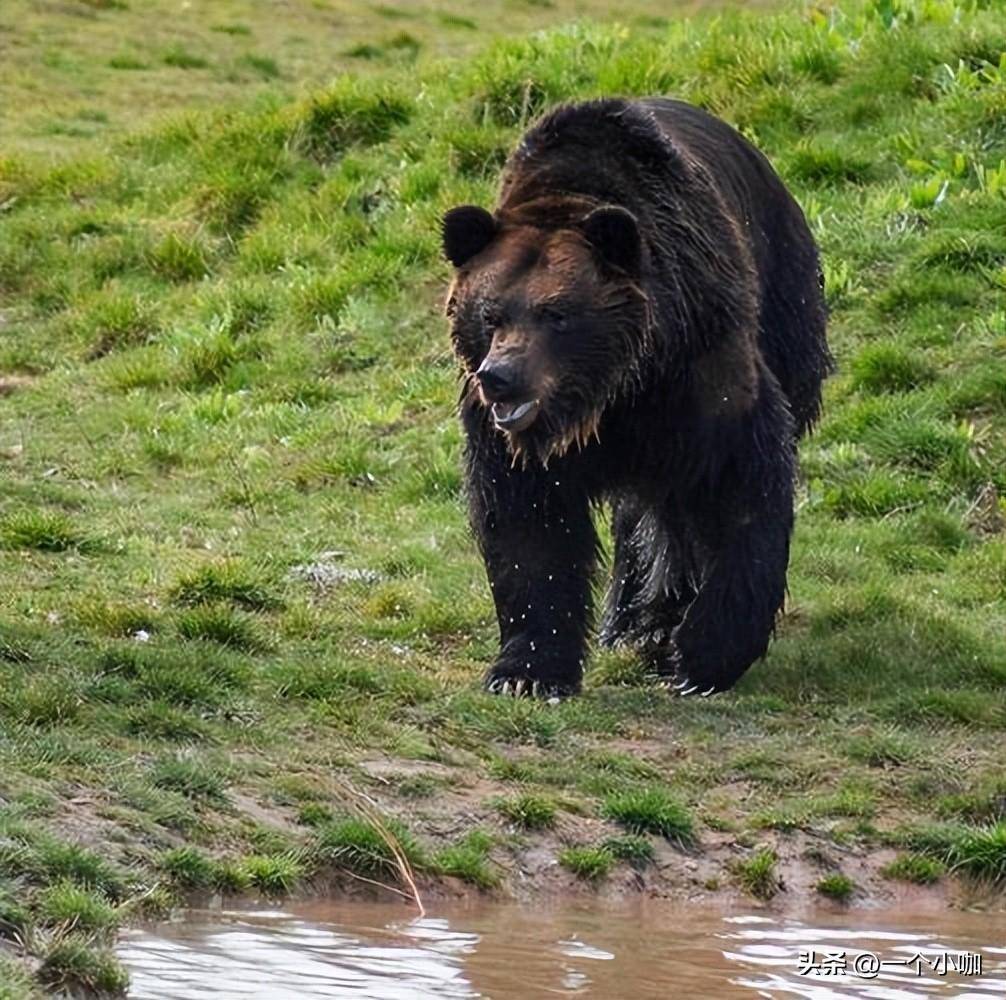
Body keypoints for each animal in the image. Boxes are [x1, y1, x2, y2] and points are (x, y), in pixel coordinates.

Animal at [444, 97, 828, 696]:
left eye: (556, 314)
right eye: (490, 314)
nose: (500, 376)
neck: (612, 394)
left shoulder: (698, 372)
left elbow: (740, 490)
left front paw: (703, 655)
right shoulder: (506, 436)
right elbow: (527, 525)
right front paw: (526, 671)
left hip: (786, 299)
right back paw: (631, 623)